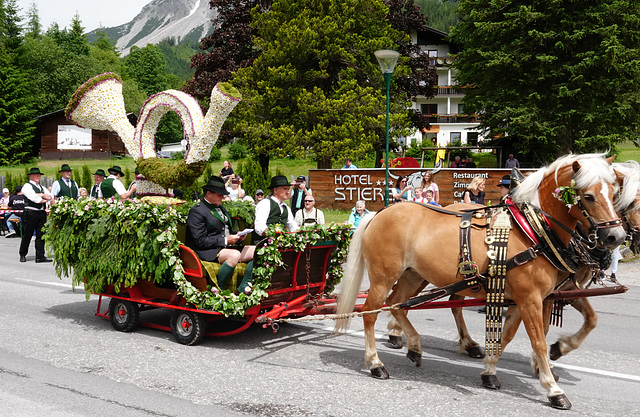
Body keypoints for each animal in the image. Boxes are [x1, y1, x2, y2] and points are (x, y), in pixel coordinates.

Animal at [336, 151, 624, 408]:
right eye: (588, 196)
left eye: (614, 193)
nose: (616, 237)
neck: (533, 231)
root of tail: (380, 213)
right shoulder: (530, 298)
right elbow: (539, 341)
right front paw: (553, 389)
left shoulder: (524, 298)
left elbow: (507, 336)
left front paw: (489, 371)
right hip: (383, 277)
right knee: (371, 313)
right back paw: (375, 363)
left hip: (413, 276)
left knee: (397, 304)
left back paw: (415, 345)